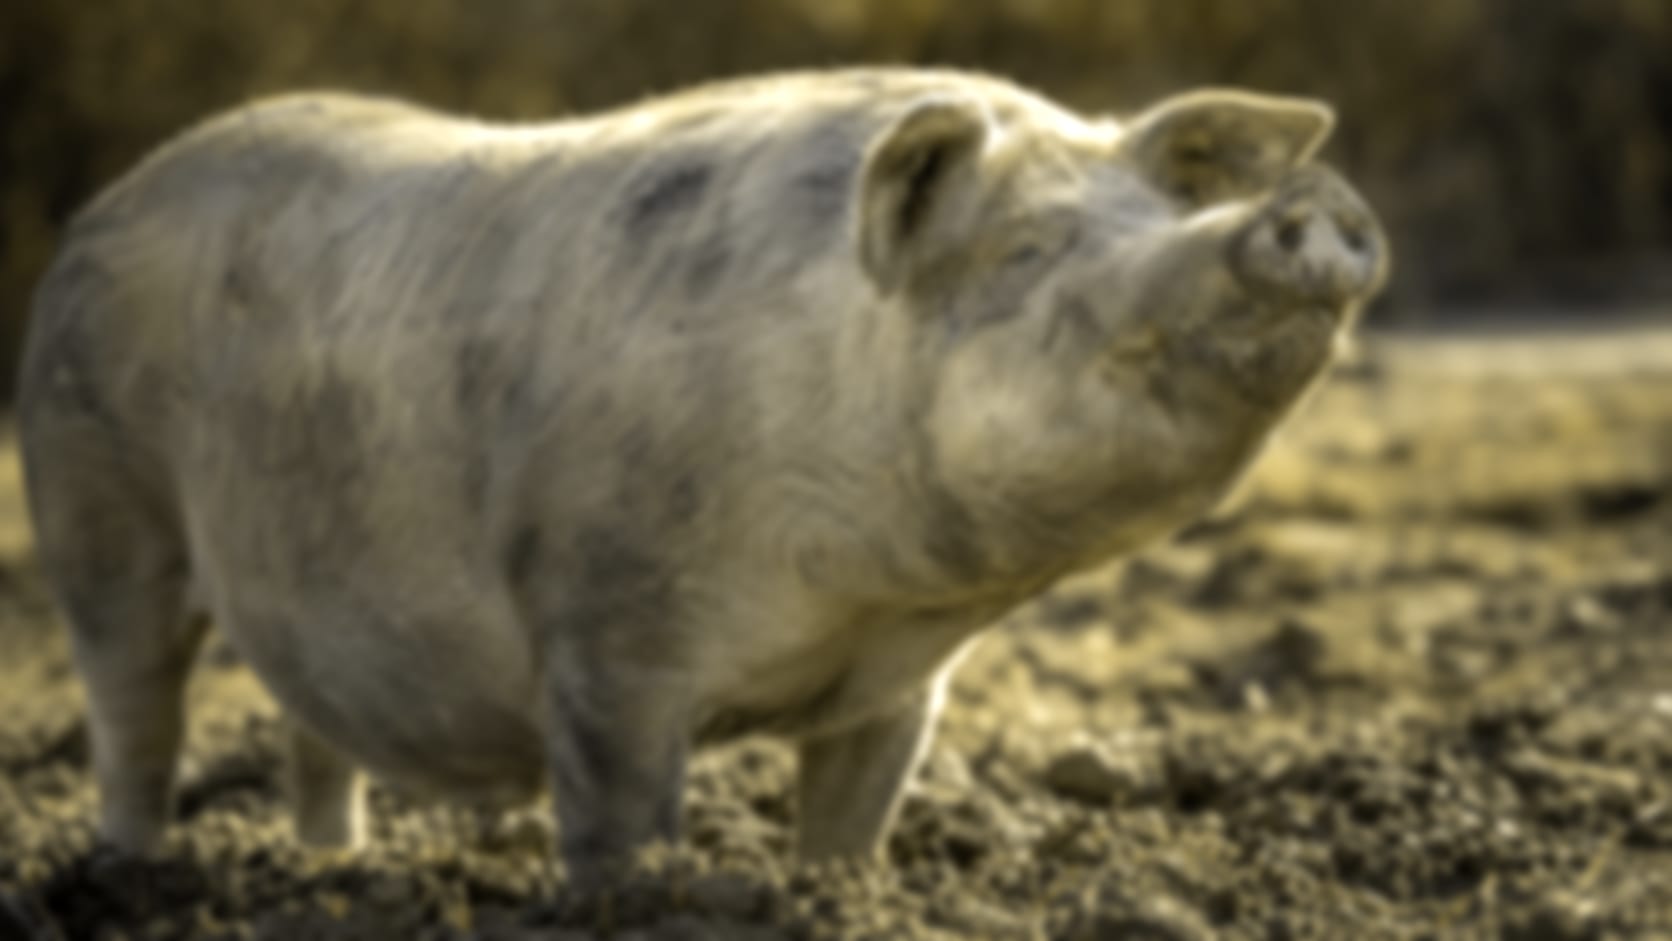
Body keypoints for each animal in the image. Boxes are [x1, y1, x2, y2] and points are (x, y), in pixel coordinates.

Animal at [17, 67, 1387, 884]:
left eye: (1158, 219)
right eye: (1030, 249)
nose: (1310, 205)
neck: (873, 589)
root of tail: (93, 219)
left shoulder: (907, 685)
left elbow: (854, 820)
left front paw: (838, 895)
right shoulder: (599, 626)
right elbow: (617, 819)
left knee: (313, 732)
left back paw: (332, 872)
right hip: (96, 508)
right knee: (134, 710)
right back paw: (129, 874)